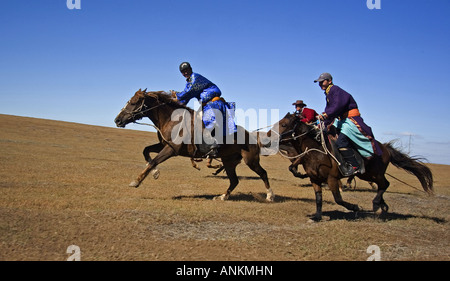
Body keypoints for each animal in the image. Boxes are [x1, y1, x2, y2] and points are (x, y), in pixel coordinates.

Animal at [113, 88, 274, 200]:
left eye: (133, 102)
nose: (117, 120)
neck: (171, 119)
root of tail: (251, 135)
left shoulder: (171, 150)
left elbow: (154, 161)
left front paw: (136, 181)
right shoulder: (164, 145)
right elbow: (146, 151)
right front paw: (155, 173)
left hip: (251, 161)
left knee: (263, 173)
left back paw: (270, 196)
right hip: (229, 162)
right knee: (234, 181)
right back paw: (223, 196)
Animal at [276, 112, 434, 220]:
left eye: (283, 124)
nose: (272, 136)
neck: (316, 151)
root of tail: (386, 148)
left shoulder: (332, 179)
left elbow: (338, 199)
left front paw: (354, 207)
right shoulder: (314, 179)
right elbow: (318, 199)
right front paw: (317, 217)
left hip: (375, 173)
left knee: (385, 184)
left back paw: (376, 203)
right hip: (368, 174)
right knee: (382, 185)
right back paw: (382, 205)